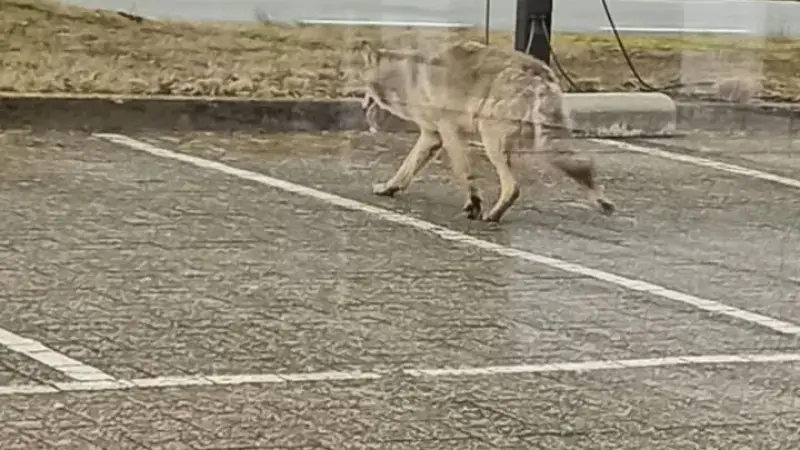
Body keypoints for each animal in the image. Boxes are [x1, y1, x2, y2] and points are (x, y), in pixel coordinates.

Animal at [356, 39, 615, 223]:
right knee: (584, 167)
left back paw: (492, 216)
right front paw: (388, 188)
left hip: (492, 141)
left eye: (363, 85)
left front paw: (474, 205)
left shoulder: (448, 133)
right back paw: (602, 203)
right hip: (543, 145)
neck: (402, 76)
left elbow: (464, 173)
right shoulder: (432, 136)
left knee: (513, 187)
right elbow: (405, 169)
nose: (361, 105)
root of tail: (540, 73)